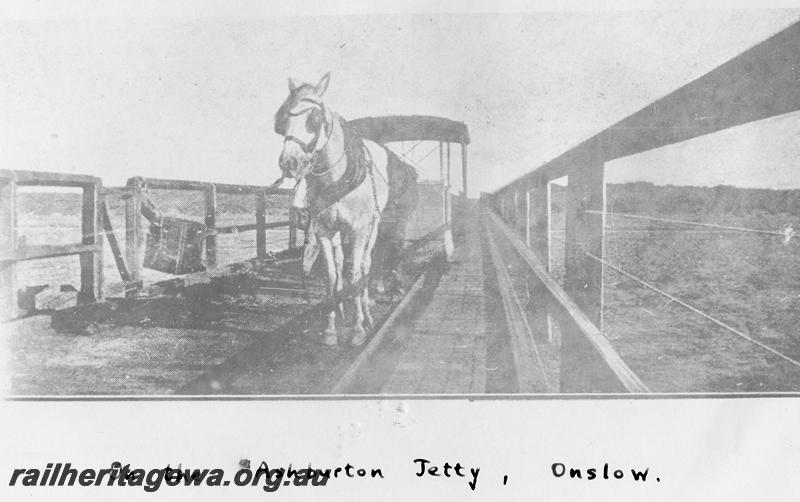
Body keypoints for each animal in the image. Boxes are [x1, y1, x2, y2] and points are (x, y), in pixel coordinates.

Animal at [272, 74, 416, 348]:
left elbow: (354, 273)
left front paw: (358, 329)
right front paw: (330, 329)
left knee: (366, 264)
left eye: (314, 118)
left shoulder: (359, 229)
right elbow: (331, 275)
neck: (335, 178)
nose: (289, 162)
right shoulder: (323, 230)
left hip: (374, 225)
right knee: (341, 264)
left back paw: (367, 311)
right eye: (283, 118)